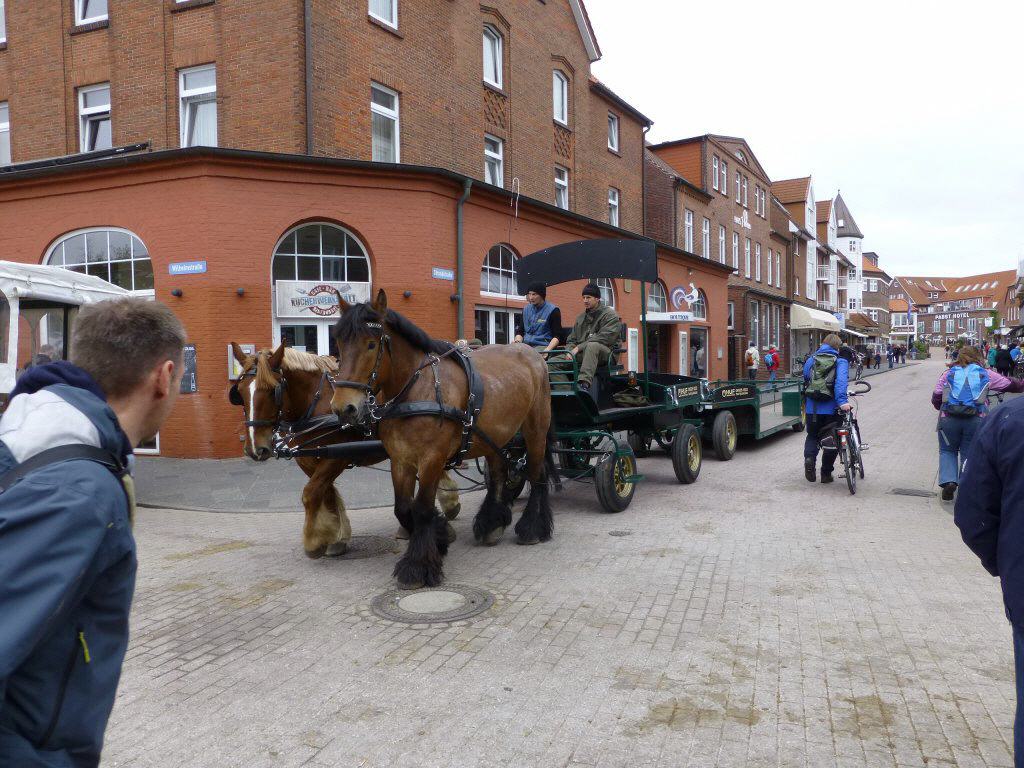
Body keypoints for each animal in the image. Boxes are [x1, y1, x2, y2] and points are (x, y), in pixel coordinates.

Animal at [227, 343, 461, 558]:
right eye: (239, 392)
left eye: (272, 390)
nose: (255, 449)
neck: (316, 400)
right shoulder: (309, 460)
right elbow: (327, 493)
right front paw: (335, 538)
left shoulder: (337, 457)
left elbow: (311, 493)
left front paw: (314, 542)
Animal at [328, 289, 556, 589]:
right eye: (339, 344)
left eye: (371, 344)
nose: (344, 408)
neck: (416, 389)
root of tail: (531, 353)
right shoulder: (400, 459)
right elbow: (403, 509)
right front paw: (440, 538)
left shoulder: (432, 459)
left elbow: (422, 508)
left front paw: (418, 565)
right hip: (496, 434)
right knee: (498, 474)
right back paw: (492, 523)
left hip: (535, 428)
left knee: (536, 472)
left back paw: (532, 527)